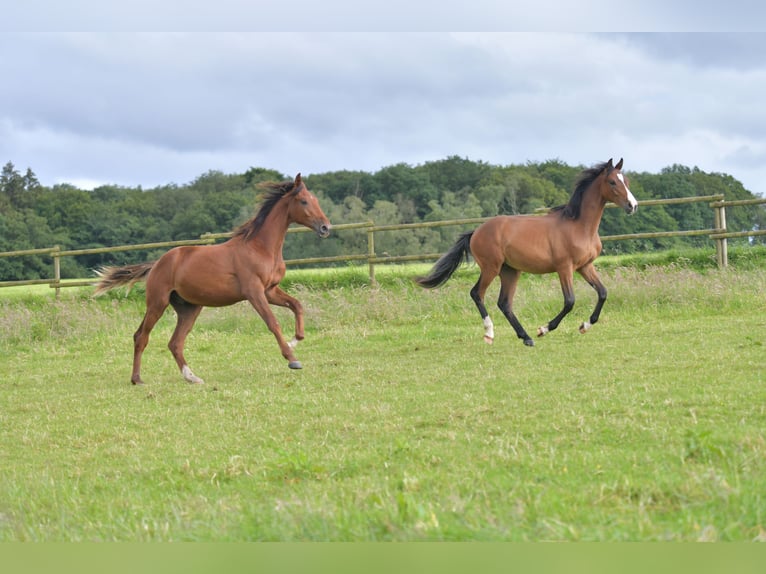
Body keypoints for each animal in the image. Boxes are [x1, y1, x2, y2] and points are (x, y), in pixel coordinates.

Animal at [94, 172, 330, 388]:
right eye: (304, 201)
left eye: (315, 199)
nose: (325, 227)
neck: (260, 248)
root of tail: (157, 264)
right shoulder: (254, 292)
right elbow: (273, 322)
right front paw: (292, 359)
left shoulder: (270, 290)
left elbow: (297, 305)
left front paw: (295, 340)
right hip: (157, 303)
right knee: (141, 336)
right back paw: (137, 379)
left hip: (189, 308)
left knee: (175, 342)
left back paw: (192, 377)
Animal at [416, 158, 640, 346]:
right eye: (612, 182)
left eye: (626, 181)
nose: (633, 206)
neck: (579, 226)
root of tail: (476, 232)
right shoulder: (564, 268)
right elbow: (569, 302)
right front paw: (544, 329)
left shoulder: (585, 266)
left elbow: (602, 293)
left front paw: (584, 326)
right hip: (491, 267)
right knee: (477, 293)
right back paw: (490, 333)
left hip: (510, 271)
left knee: (504, 303)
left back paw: (525, 337)